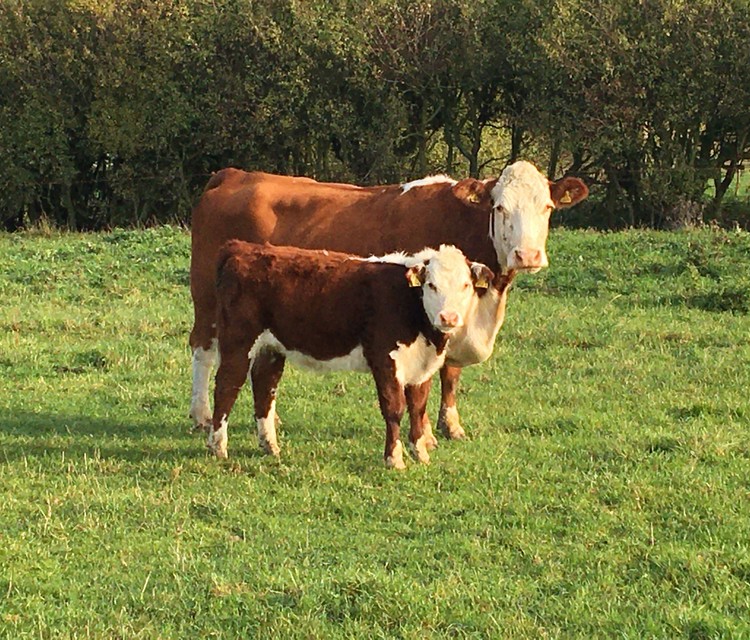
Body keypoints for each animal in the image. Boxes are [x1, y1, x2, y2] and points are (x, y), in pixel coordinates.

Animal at [191, 160, 592, 440]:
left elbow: (451, 375)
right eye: (499, 208)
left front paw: (451, 425)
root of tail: (236, 174)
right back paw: (201, 415)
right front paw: (427, 432)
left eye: (547, 208)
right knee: (203, 349)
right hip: (207, 298)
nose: (528, 255)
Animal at [209, 242, 496, 468]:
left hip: (271, 348)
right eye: (432, 285)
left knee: (265, 388)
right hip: (238, 341)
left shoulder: (421, 366)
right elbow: (394, 409)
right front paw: (394, 459)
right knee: (226, 386)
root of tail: (242, 248)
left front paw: (420, 453)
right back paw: (218, 447)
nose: (449, 317)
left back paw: (270, 446)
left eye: (466, 285)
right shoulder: (384, 358)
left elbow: (417, 408)